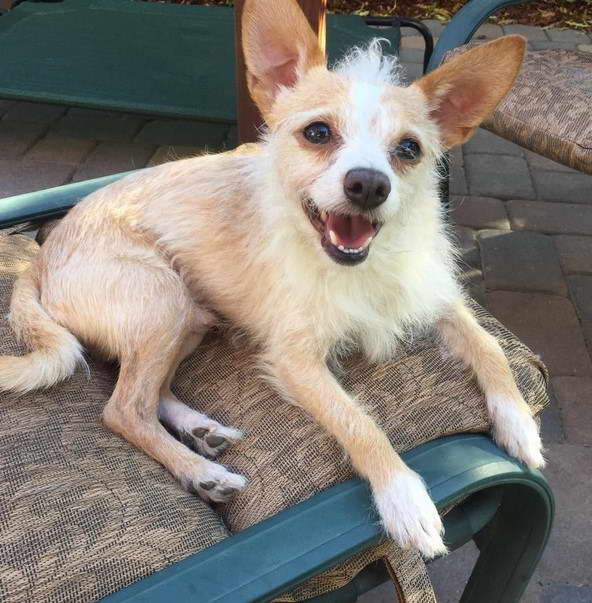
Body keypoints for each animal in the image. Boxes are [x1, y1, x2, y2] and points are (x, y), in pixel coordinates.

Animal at [1, 0, 544, 560]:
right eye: (318, 133)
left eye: (409, 149)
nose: (369, 185)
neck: (362, 268)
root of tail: (37, 259)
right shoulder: (296, 360)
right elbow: (358, 421)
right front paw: (404, 498)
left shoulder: (434, 295)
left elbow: (490, 348)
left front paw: (519, 421)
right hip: (164, 302)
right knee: (122, 409)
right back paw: (202, 472)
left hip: (189, 317)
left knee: (146, 394)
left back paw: (201, 431)